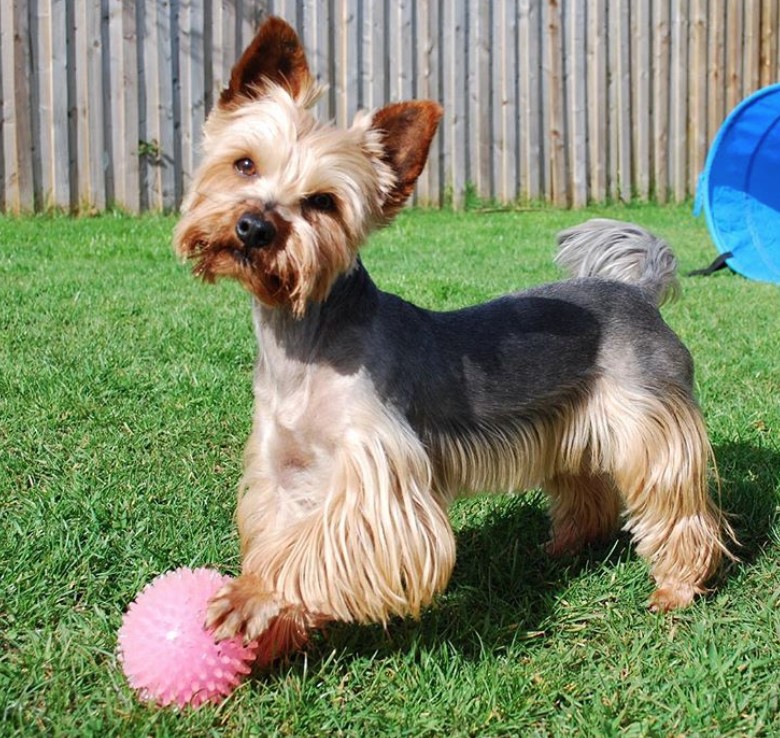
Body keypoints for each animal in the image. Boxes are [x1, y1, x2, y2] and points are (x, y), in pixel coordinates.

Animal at [174, 15, 736, 648]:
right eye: (244, 164)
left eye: (323, 202)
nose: (254, 227)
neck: (304, 342)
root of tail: (638, 293)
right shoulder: (285, 470)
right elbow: (283, 533)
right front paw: (276, 629)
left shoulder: (381, 486)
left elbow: (310, 547)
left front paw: (249, 595)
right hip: (573, 419)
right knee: (585, 487)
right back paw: (564, 547)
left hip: (648, 422)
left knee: (677, 504)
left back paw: (678, 587)